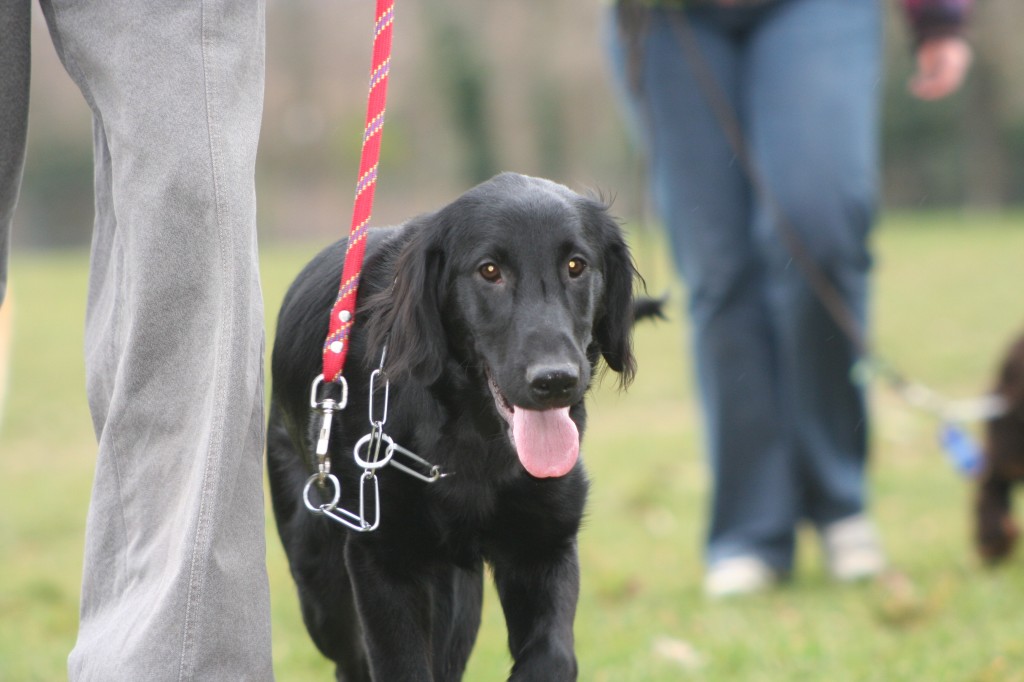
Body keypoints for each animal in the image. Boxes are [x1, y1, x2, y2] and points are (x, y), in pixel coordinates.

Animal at [272, 173, 638, 675]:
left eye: (576, 265)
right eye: (489, 271)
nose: (556, 381)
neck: (475, 438)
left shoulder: (545, 544)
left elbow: (553, 658)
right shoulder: (383, 560)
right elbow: (400, 665)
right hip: (321, 583)